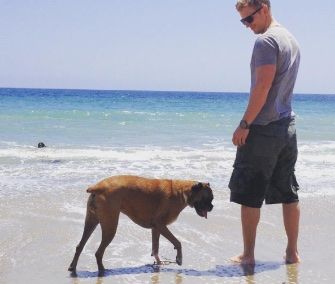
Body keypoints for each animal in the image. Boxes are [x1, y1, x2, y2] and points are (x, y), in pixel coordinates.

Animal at [69, 174, 215, 272]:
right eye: (207, 198)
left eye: (212, 198)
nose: (212, 207)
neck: (181, 191)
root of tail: (97, 187)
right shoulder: (160, 225)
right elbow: (177, 242)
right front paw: (179, 259)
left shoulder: (156, 228)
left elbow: (155, 248)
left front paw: (158, 263)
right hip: (110, 227)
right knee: (98, 252)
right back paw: (102, 270)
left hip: (91, 222)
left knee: (79, 246)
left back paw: (72, 267)